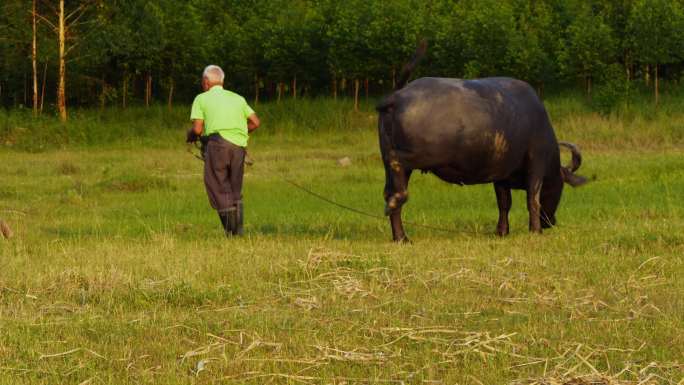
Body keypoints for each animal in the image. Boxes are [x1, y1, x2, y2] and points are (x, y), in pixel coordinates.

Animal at [376, 48, 584, 240]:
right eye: (560, 187)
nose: (550, 222)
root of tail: (397, 97)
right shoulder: (537, 164)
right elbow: (532, 199)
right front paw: (535, 230)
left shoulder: (501, 174)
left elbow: (504, 203)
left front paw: (502, 231)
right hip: (422, 155)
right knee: (396, 169)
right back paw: (398, 205)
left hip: (389, 160)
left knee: (389, 191)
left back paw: (401, 237)